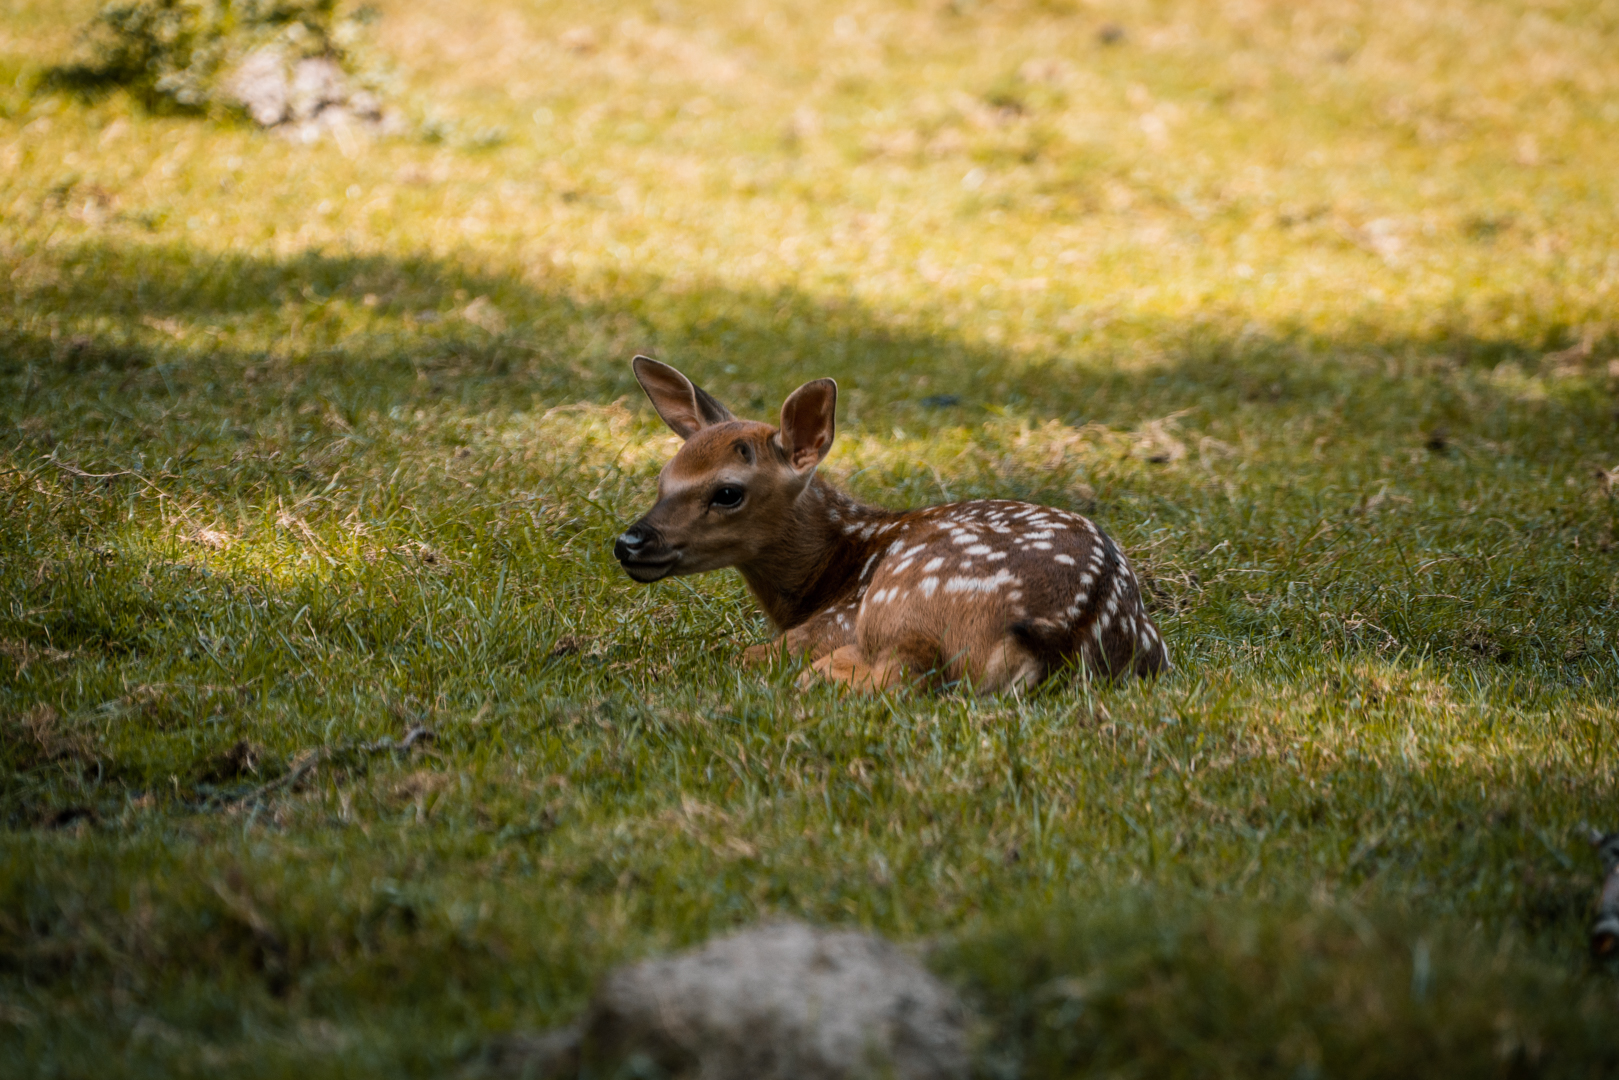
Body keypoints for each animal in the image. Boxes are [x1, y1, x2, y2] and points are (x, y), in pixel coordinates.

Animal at [612, 356, 1170, 693]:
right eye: (663, 476)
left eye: (727, 492)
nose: (629, 542)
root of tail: (1059, 634)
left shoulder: (838, 617)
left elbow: (740, 654)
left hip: (900, 602)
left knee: (898, 676)